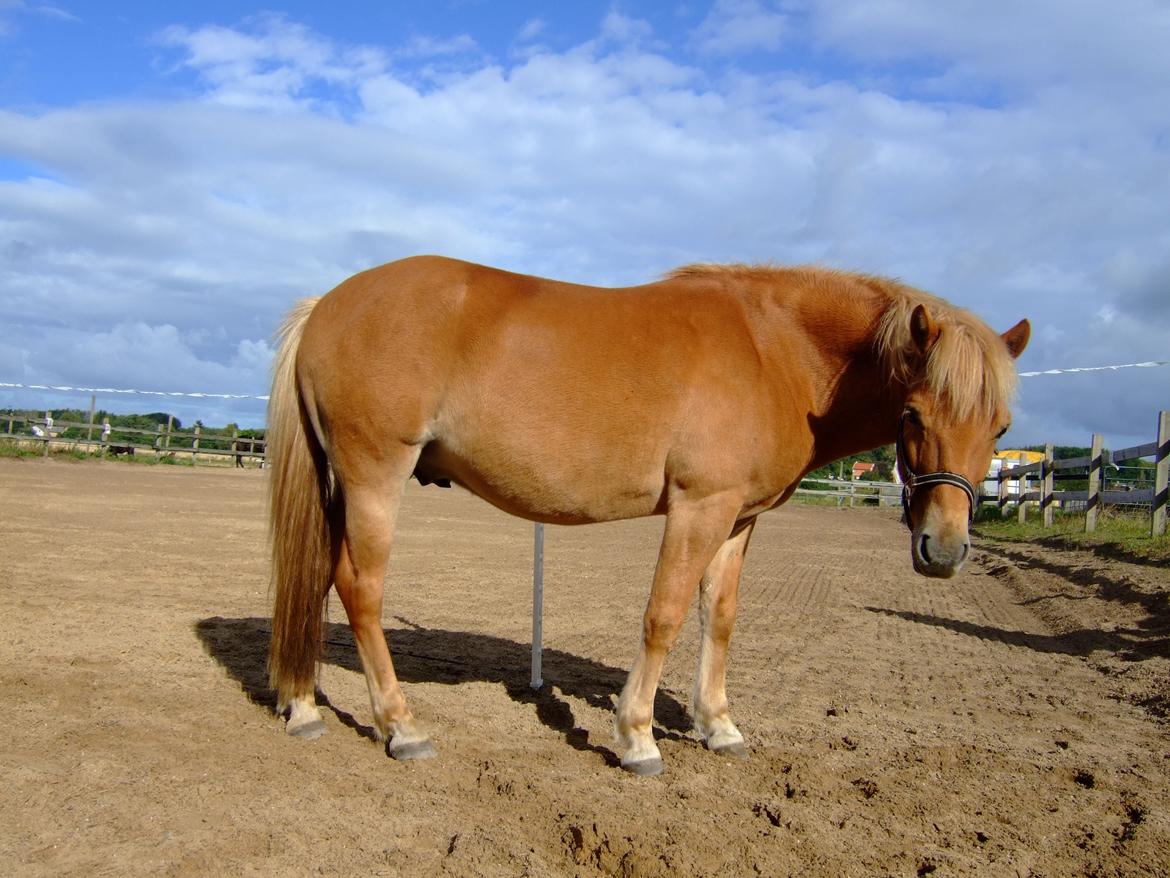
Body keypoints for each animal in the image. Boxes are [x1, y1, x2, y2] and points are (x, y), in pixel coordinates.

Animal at [267, 254, 1034, 777]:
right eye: (914, 414)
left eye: (1000, 428)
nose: (944, 550)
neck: (772, 347)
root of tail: (327, 305)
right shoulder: (698, 507)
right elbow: (663, 615)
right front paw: (636, 735)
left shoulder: (738, 518)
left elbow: (717, 618)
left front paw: (718, 725)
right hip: (375, 478)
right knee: (360, 589)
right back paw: (400, 726)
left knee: (318, 580)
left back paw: (302, 705)